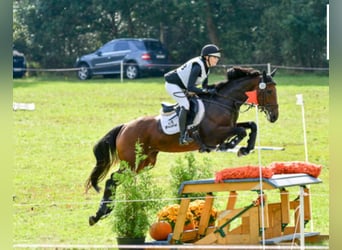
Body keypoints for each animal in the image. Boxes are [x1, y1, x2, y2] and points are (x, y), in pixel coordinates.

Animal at [85, 66, 278, 225]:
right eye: (269, 90)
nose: (274, 116)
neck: (224, 101)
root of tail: (125, 126)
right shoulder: (214, 134)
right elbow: (241, 130)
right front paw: (231, 145)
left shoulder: (228, 127)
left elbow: (251, 125)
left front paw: (246, 148)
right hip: (132, 161)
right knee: (112, 179)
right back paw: (100, 213)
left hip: (145, 162)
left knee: (117, 180)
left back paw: (103, 212)